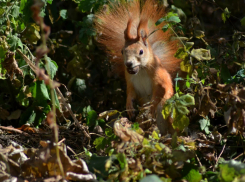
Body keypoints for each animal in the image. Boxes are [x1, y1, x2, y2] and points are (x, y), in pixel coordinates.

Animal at [94, 0, 181, 134]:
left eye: (141, 51)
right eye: (122, 51)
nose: (128, 63)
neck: (141, 70)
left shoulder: (158, 76)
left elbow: (161, 91)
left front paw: (152, 107)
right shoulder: (130, 80)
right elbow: (130, 93)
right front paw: (129, 106)